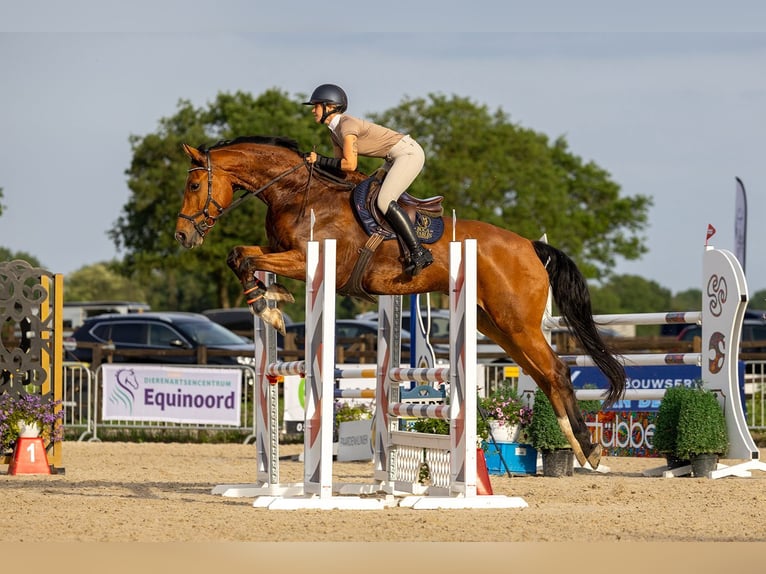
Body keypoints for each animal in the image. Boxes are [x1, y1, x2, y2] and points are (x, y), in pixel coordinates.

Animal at [174, 135, 626, 469]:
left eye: (194, 185)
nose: (182, 236)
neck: (297, 193)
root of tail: (531, 247)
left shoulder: (309, 260)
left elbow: (243, 256)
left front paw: (268, 304)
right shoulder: (281, 251)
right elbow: (240, 254)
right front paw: (270, 299)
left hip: (517, 323)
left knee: (558, 371)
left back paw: (589, 449)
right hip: (498, 326)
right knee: (544, 375)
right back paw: (577, 445)